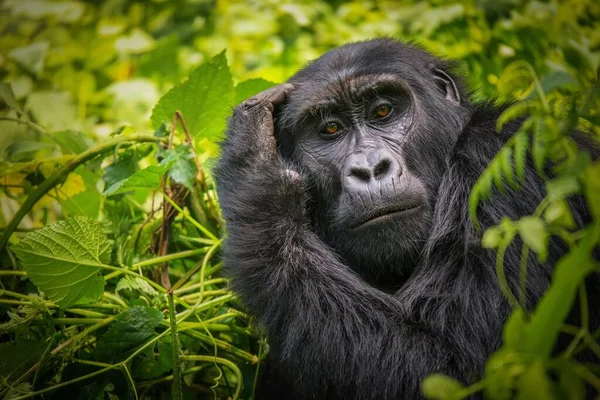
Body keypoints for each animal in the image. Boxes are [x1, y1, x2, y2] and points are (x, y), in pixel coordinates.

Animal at [213, 38, 596, 400]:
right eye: (331, 129)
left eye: (383, 110)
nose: (369, 169)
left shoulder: (509, 157)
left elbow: (454, 368)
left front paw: (256, 176)